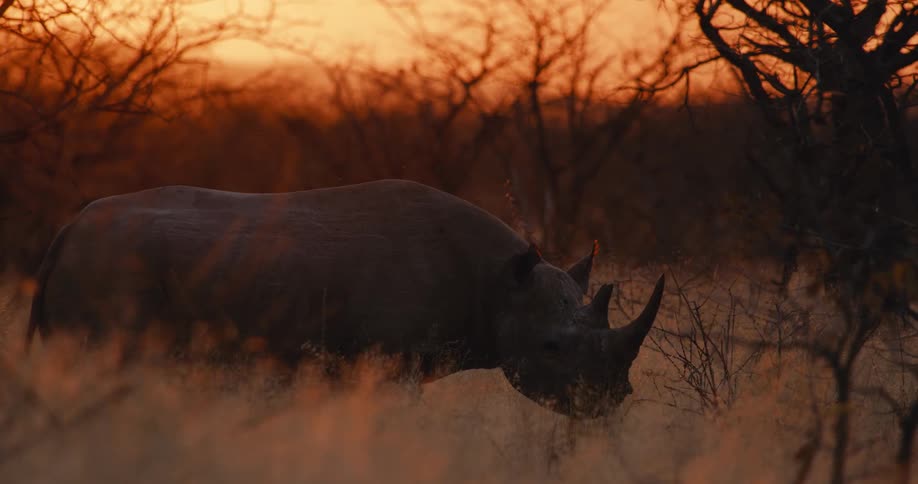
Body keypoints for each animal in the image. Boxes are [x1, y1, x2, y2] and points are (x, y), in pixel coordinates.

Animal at [26, 179, 664, 418]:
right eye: (552, 348)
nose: (608, 401)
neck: (498, 283)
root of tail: (65, 233)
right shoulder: (390, 364)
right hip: (111, 269)